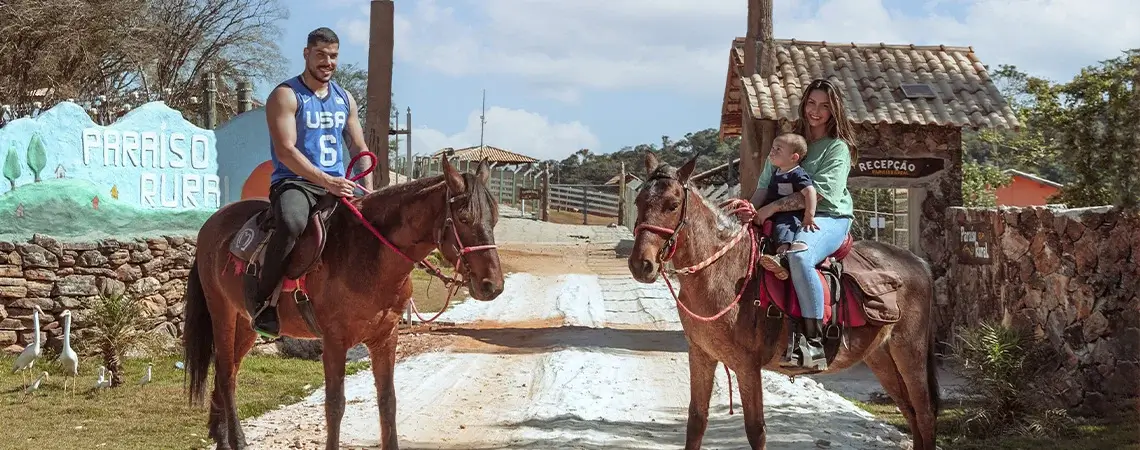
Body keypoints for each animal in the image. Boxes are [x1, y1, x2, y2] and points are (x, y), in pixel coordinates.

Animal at [182, 155, 505, 450]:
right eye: (464, 218)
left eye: (495, 218)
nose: (493, 285)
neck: (369, 253)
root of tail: (211, 225)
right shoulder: (335, 342)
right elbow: (335, 405)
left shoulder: (385, 338)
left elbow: (388, 401)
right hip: (221, 312)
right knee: (225, 373)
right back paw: (234, 440)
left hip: (246, 322)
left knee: (229, 372)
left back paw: (220, 435)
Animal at [627, 152, 939, 450]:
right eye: (640, 201)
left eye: (672, 204)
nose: (641, 265)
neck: (721, 271)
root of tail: (919, 263)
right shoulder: (701, 355)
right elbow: (696, 422)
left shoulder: (747, 366)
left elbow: (756, 431)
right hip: (881, 357)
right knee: (911, 414)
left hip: (909, 352)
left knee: (924, 415)